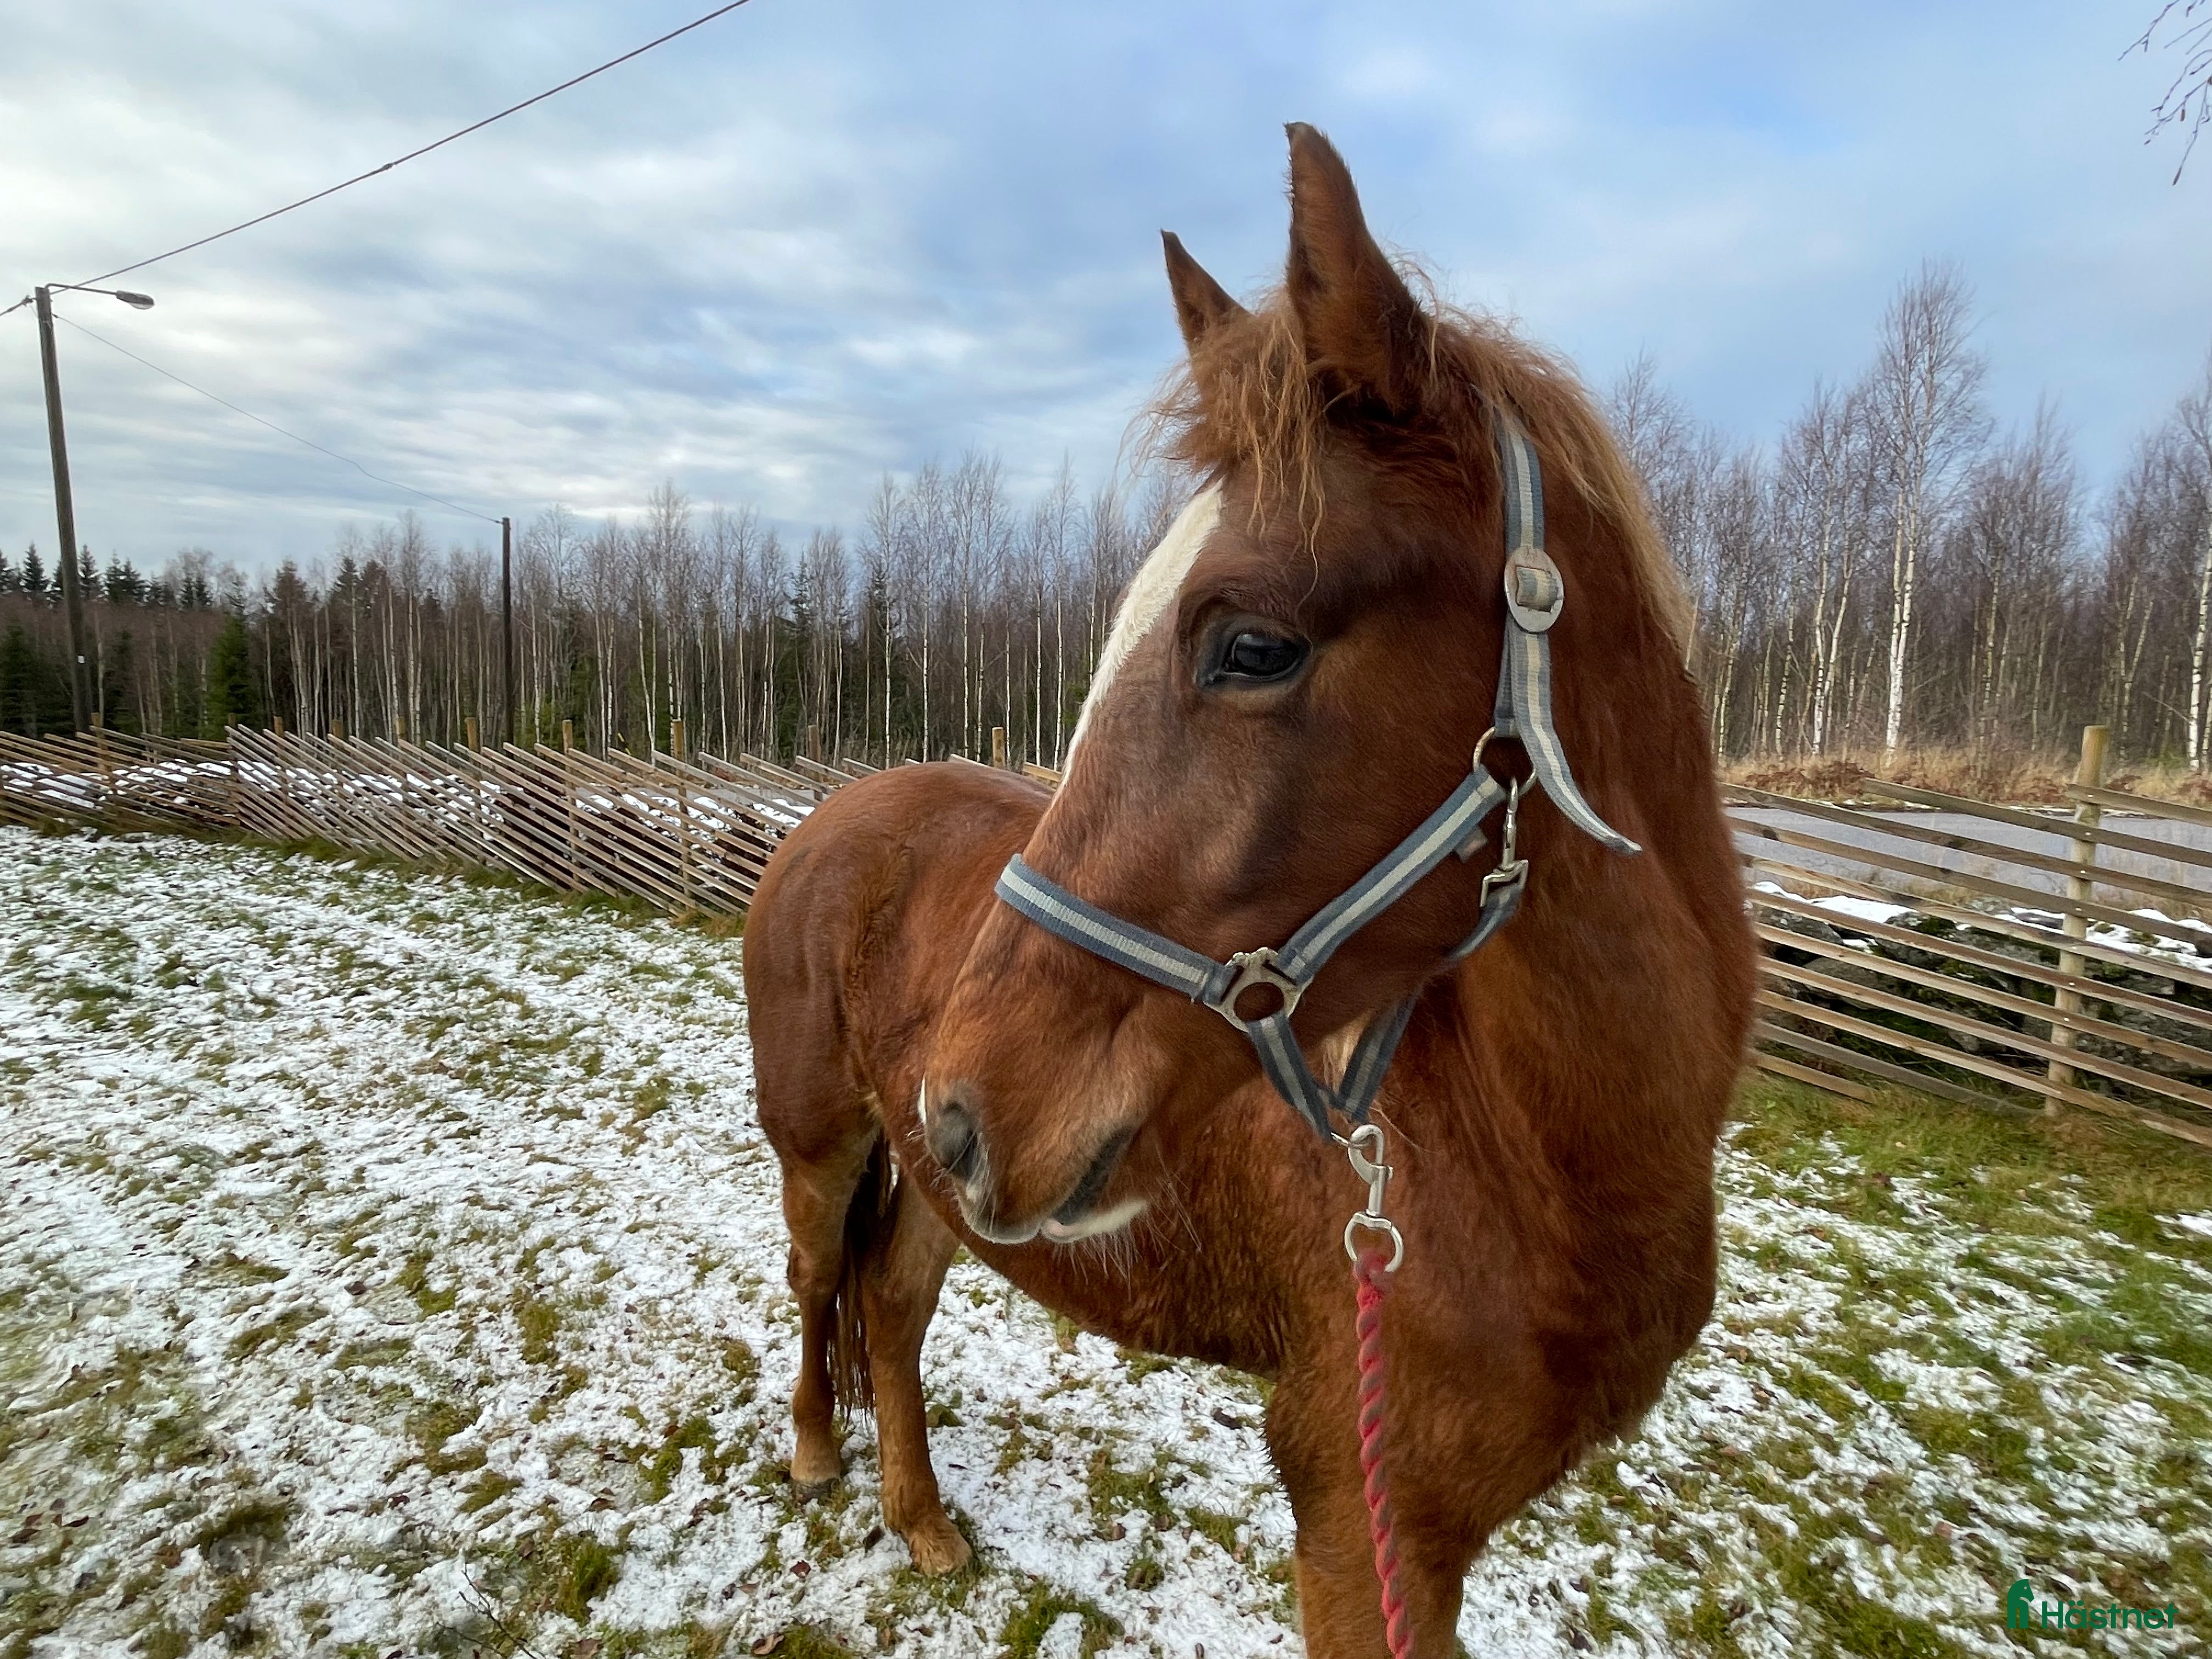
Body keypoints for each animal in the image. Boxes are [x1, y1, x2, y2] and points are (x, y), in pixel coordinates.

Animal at [742, 123, 1754, 1657]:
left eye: (1255, 647)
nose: (966, 1112)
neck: (1546, 1163)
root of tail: (833, 818)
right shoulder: (1362, 1522)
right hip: (826, 1144)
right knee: (818, 1287)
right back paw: (815, 1453)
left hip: (917, 1191)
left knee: (894, 1311)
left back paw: (920, 1522)